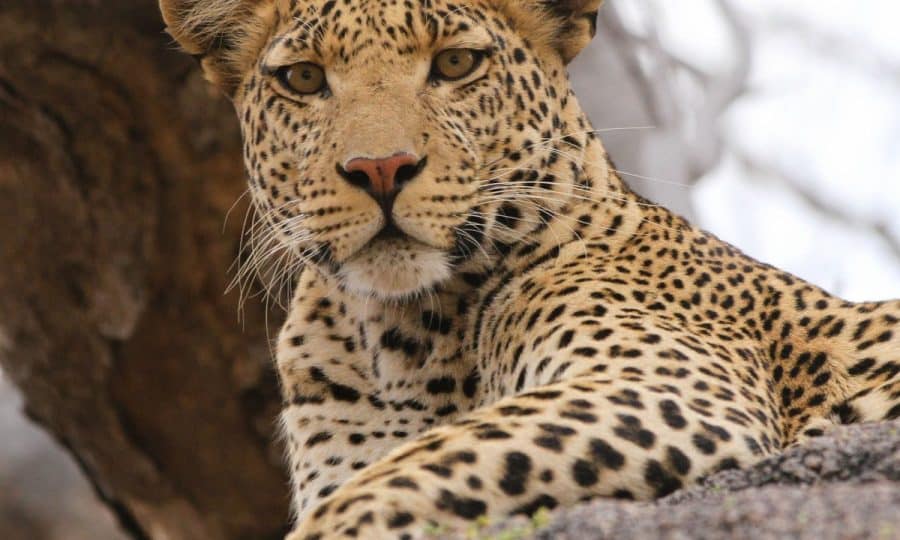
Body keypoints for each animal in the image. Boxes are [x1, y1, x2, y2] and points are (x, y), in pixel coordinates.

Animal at [159, 0, 900, 538]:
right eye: (305, 79)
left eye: (455, 64)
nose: (380, 169)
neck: (403, 338)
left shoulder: (670, 385)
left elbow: (415, 471)